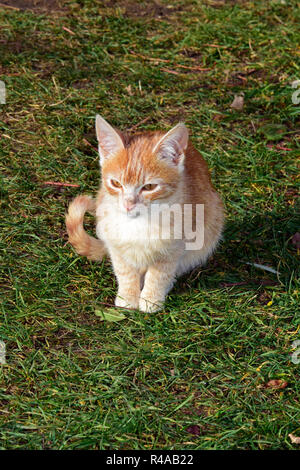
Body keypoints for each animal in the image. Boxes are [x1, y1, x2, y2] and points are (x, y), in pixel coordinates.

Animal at [66, 115, 225, 312]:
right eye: (116, 183)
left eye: (149, 187)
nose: (128, 204)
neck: (140, 223)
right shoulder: (116, 245)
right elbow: (125, 271)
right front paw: (128, 297)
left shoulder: (173, 247)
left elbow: (159, 274)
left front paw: (150, 300)